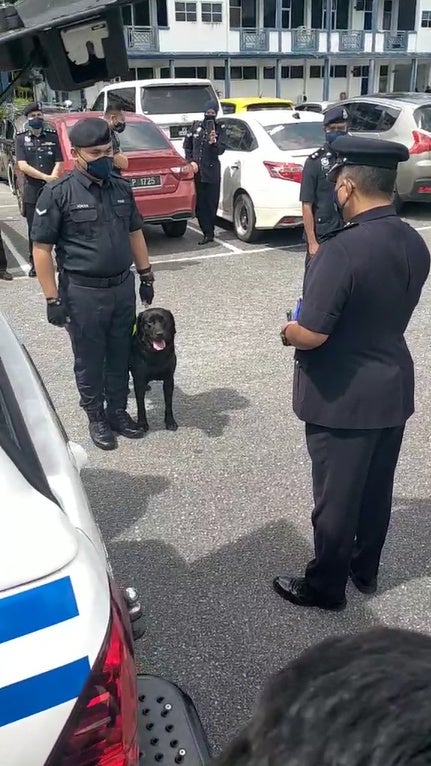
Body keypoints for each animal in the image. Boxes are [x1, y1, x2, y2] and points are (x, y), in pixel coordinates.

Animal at [132, 308, 179, 436]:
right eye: (149, 323)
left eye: (164, 321)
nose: (159, 333)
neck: (156, 355)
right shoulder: (139, 380)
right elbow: (141, 406)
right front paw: (142, 424)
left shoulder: (169, 379)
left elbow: (168, 403)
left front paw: (170, 422)